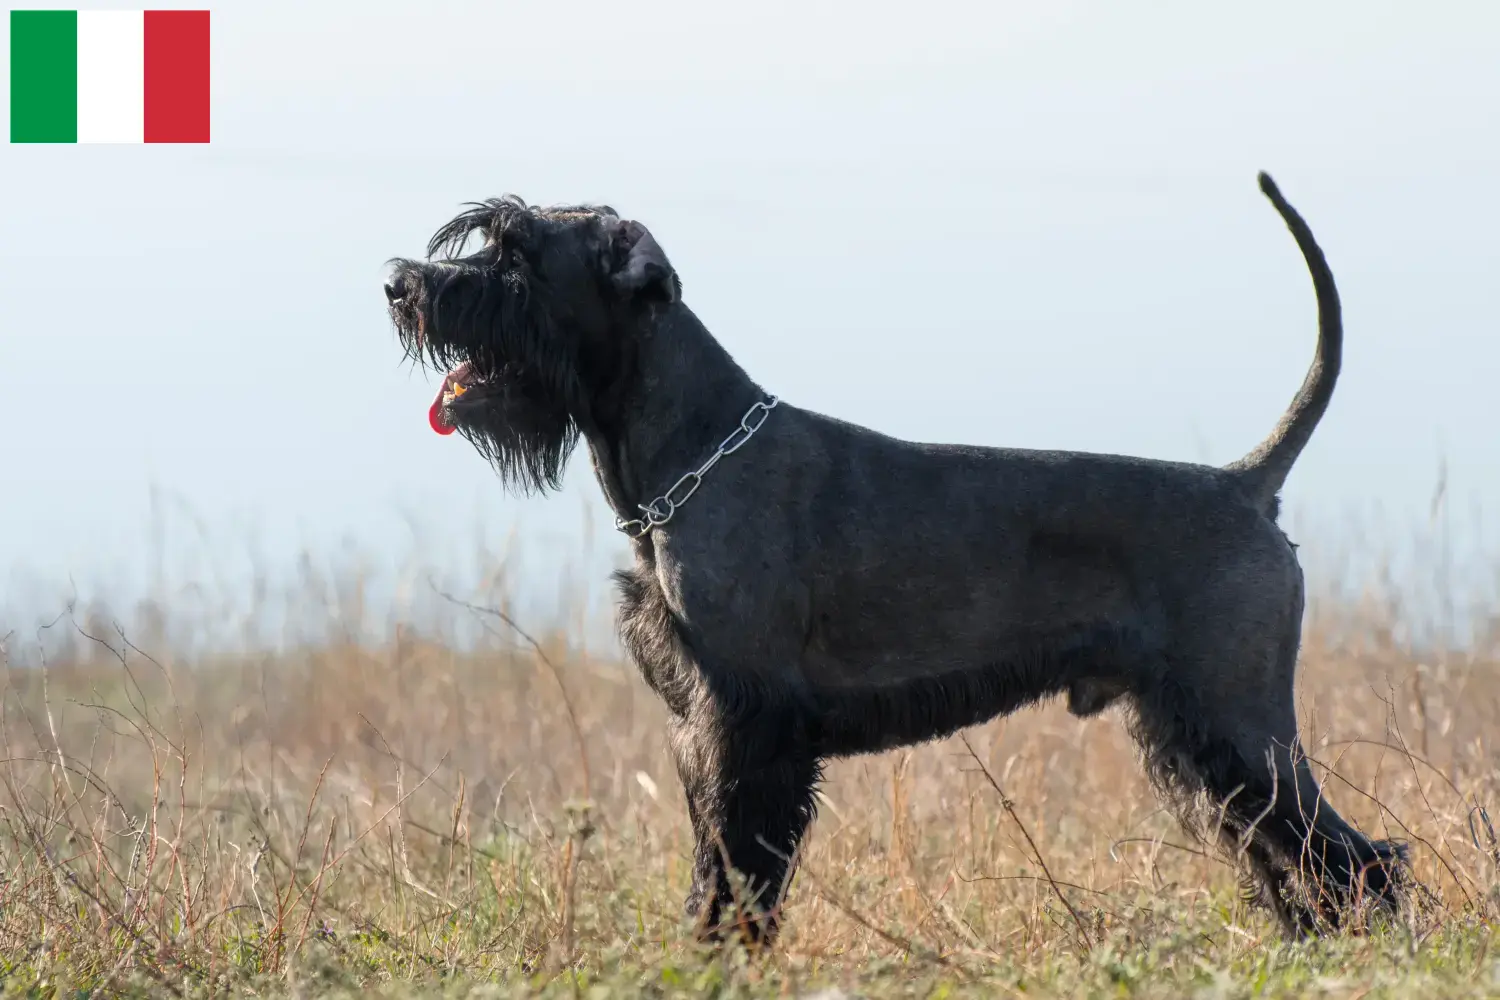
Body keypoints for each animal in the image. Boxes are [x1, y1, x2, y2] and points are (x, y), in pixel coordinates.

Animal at [384, 172, 1404, 947]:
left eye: (517, 254)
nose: (403, 283)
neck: (694, 444)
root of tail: (1246, 485)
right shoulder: (699, 731)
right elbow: (711, 869)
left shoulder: (751, 729)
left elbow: (740, 876)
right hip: (1201, 736)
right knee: (1290, 858)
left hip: (1240, 725)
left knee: (1358, 860)